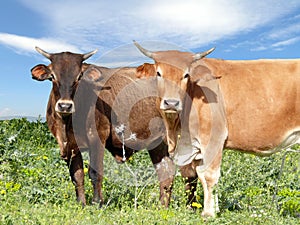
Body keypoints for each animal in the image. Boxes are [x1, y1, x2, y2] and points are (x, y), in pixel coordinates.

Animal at [30, 47, 175, 207]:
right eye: (53, 76)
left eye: (79, 77)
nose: (65, 106)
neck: (66, 124)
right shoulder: (70, 146)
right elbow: (77, 176)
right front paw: (81, 203)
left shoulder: (97, 137)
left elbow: (95, 172)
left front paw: (97, 203)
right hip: (158, 143)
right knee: (166, 172)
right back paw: (163, 205)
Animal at [134, 41, 300, 217]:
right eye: (159, 73)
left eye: (186, 75)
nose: (171, 103)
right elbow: (199, 174)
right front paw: (214, 208)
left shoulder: (213, 138)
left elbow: (209, 175)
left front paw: (208, 213)